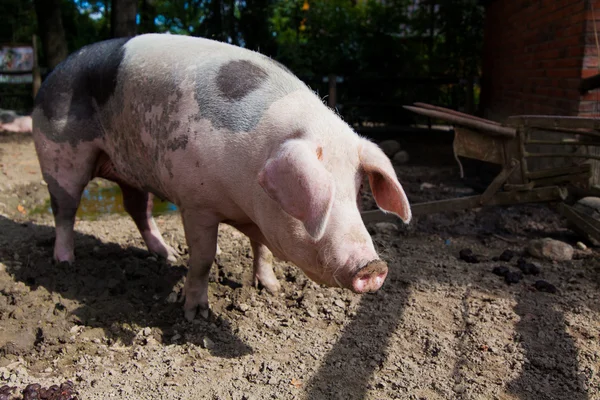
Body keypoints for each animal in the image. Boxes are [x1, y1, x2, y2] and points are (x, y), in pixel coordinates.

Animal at [30, 34, 410, 322]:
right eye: (318, 198)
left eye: (357, 190)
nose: (373, 266)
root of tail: (54, 72)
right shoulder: (196, 204)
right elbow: (203, 258)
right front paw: (196, 315)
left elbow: (262, 250)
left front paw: (272, 289)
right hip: (59, 155)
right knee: (65, 210)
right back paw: (65, 262)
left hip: (131, 171)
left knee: (137, 209)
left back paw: (166, 255)